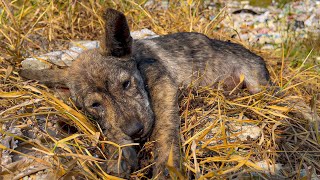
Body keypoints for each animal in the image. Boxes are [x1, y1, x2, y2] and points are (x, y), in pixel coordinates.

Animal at [19, 8, 270, 179]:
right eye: (95, 105)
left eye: (126, 84)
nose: (136, 132)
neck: (138, 63)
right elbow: (112, 127)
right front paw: (120, 154)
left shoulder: (164, 87)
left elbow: (166, 130)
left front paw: (167, 168)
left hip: (258, 83)